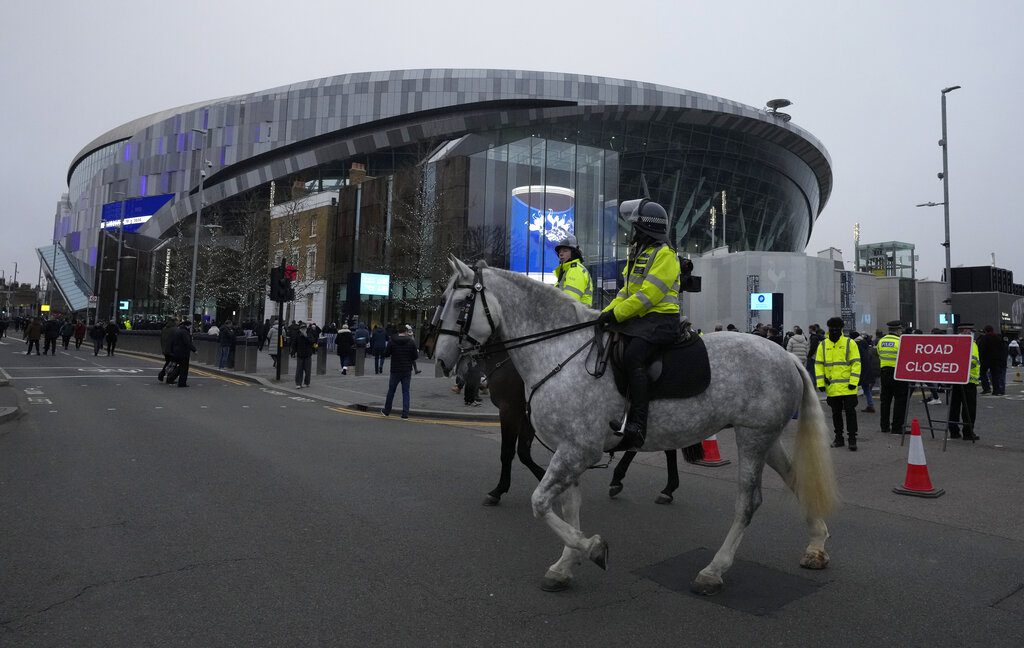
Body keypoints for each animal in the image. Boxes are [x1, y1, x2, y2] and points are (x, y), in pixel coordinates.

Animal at [432, 256, 839, 589]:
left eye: (461, 304)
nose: (440, 360)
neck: (559, 353)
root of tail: (787, 357)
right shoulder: (569, 450)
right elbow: (566, 507)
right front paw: (565, 565)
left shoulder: (576, 448)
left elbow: (540, 502)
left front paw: (593, 548)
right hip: (766, 438)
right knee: (796, 480)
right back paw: (816, 546)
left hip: (753, 438)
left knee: (748, 503)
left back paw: (713, 570)